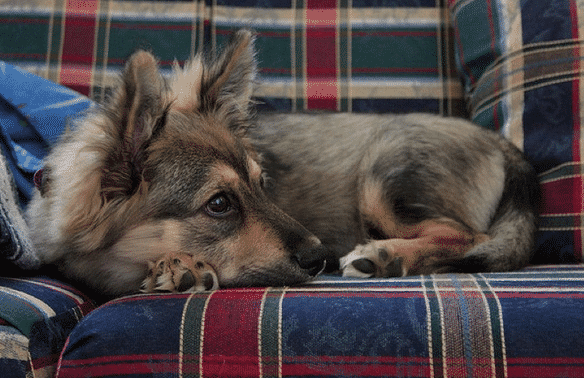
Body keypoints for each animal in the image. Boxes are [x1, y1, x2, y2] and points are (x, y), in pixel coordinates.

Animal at [26, 28, 540, 296]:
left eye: (262, 183)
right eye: (219, 204)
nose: (319, 259)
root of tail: (498, 142)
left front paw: (178, 267)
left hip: (383, 178)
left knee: (468, 236)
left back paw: (386, 255)